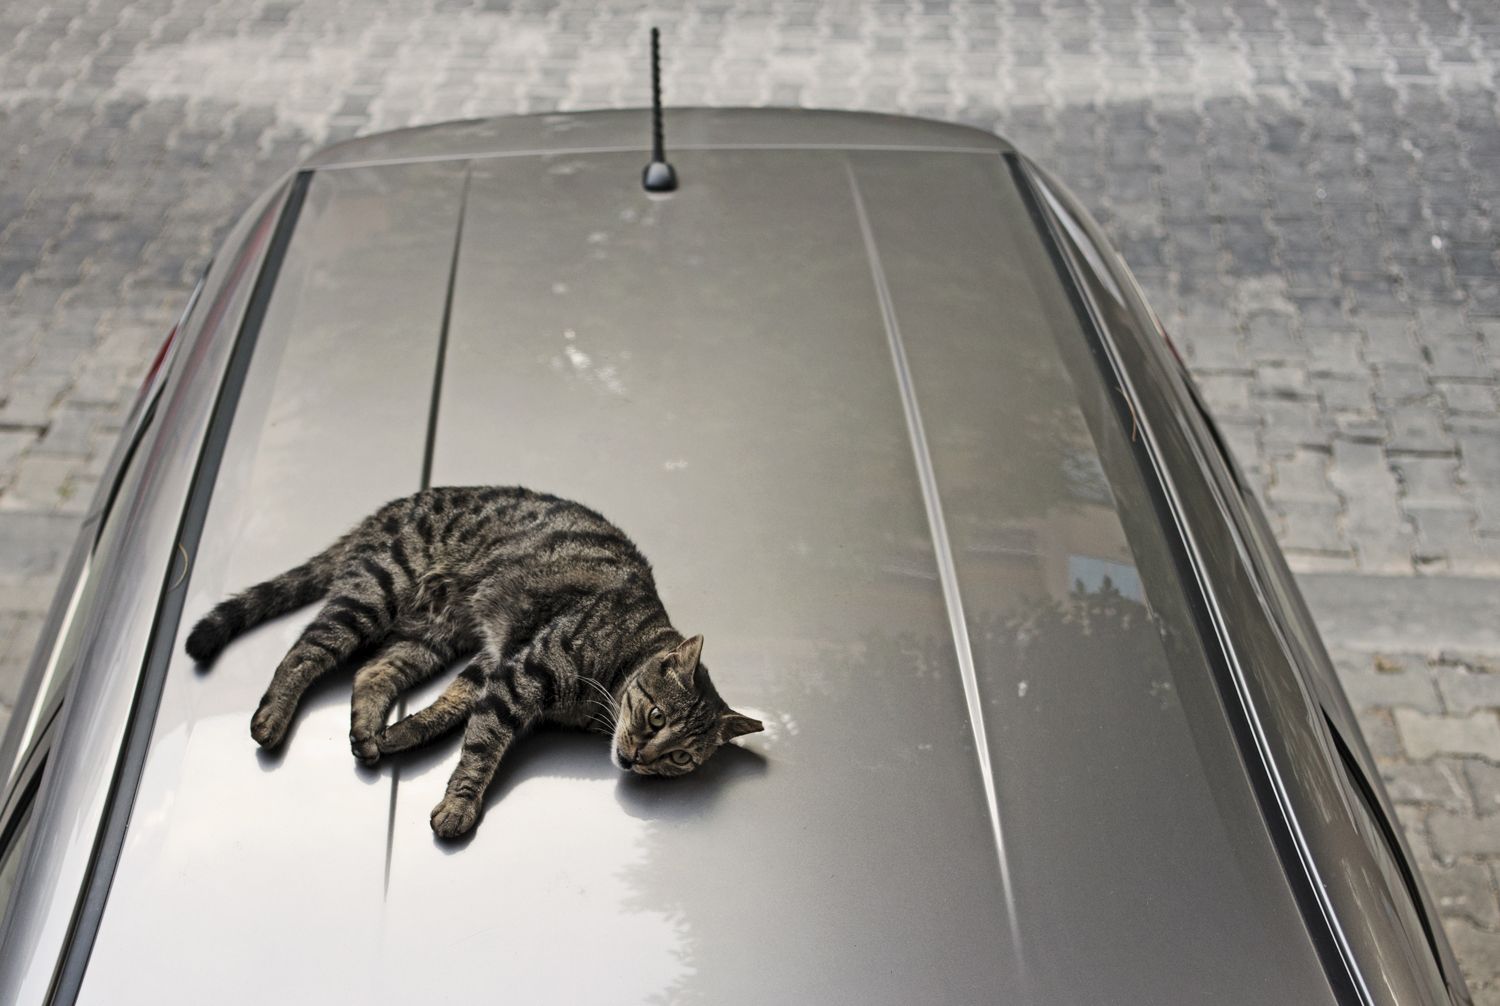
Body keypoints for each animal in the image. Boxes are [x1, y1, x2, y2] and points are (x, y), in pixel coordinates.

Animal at [184, 488, 762, 839]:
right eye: (658, 717)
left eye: (681, 758)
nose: (642, 757)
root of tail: (384, 510)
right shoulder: (521, 675)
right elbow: (481, 746)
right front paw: (459, 805)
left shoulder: (495, 662)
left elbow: (450, 707)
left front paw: (403, 734)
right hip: (374, 593)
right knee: (303, 650)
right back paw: (272, 717)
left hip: (429, 635)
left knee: (372, 671)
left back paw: (369, 732)